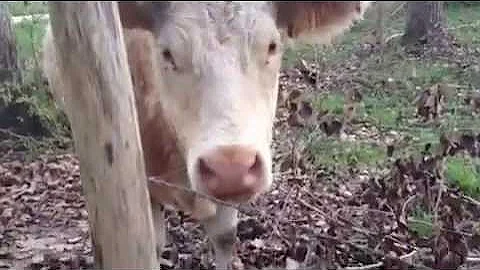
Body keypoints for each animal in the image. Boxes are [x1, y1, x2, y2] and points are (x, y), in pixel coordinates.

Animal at [42, 1, 372, 268]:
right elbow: (153, 244)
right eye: (167, 53)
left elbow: (225, 238)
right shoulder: (142, 186)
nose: (230, 167)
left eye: (272, 46)